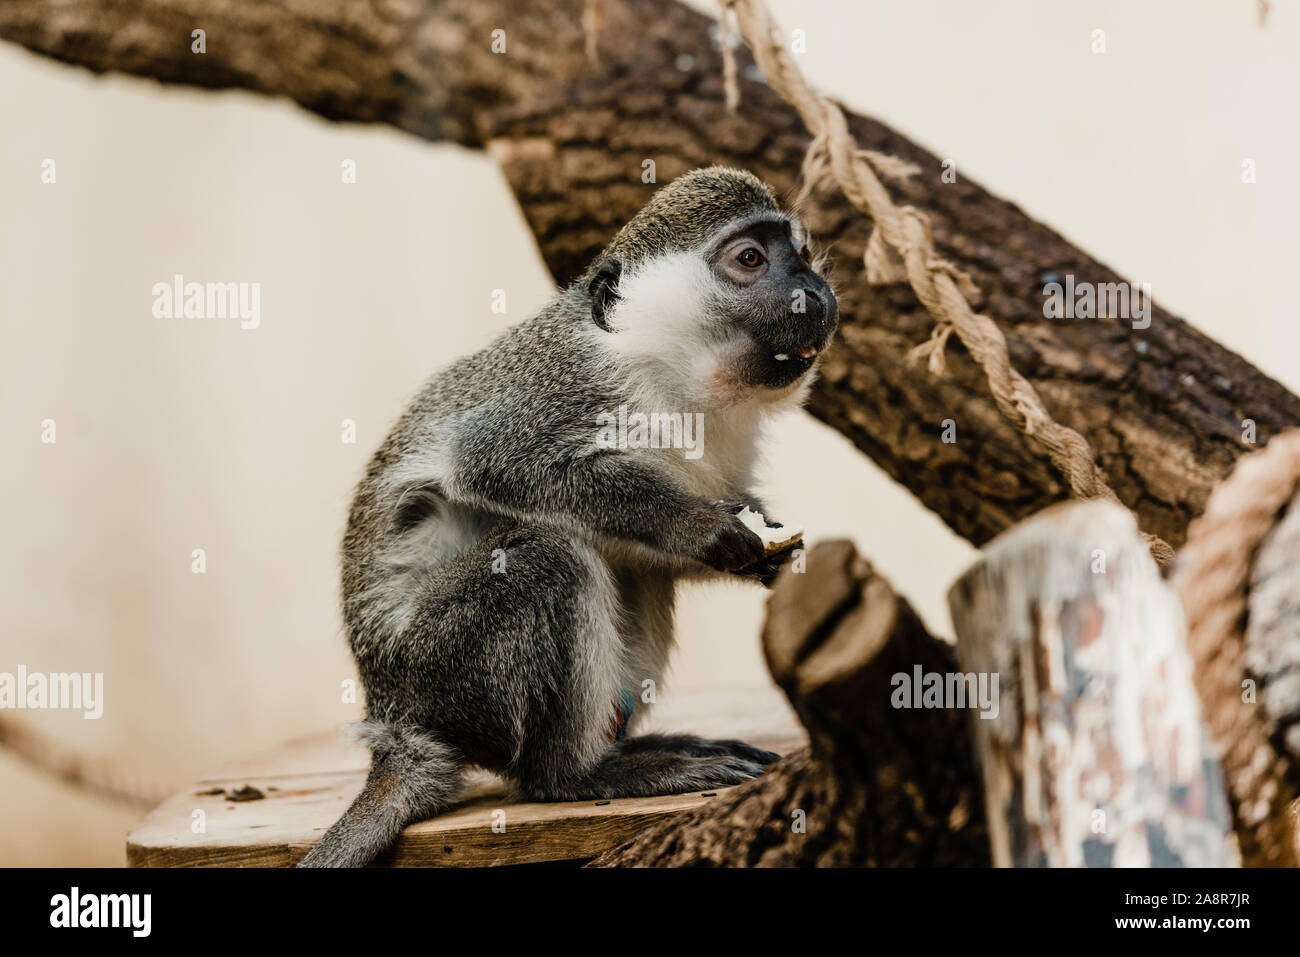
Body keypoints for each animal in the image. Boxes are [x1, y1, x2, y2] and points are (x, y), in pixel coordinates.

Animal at [296, 164, 837, 868]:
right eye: (750, 259)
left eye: (800, 252)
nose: (814, 291)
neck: (676, 382)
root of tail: (395, 722)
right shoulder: (568, 389)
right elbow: (495, 460)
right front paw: (698, 525)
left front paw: (771, 554)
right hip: (437, 666)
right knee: (549, 558)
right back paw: (579, 775)